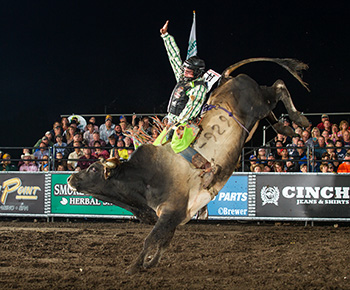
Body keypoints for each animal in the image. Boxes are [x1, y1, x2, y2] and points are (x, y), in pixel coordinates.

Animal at [67, 57, 308, 274]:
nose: (70, 178)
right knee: (273, 103)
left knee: (278, 86)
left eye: (93, 169)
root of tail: (229, 78)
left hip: (258, 102)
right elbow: (163, 242)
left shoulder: (170, 211)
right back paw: (286, 128)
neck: (146, 178)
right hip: (257, 112)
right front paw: (150, 264)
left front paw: (134, 267)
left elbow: (151, 240)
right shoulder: (175, 217)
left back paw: (299, 120)